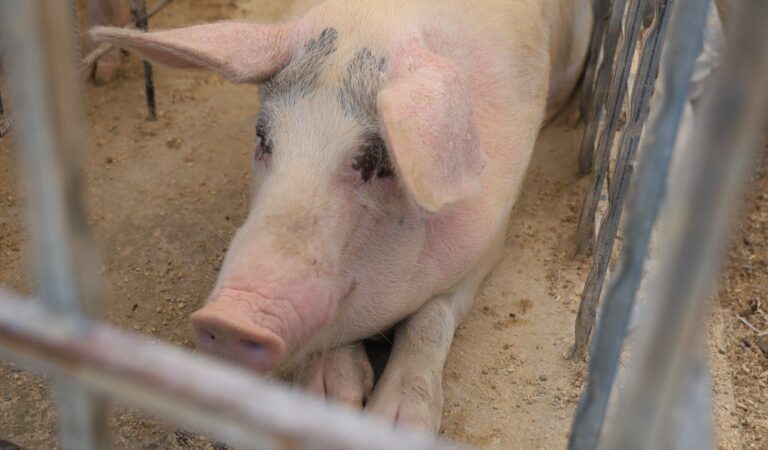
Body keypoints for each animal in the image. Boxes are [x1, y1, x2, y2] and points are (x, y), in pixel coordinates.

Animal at [92, 0, 592, 430]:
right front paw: (330, 402)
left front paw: (396, 426)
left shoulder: (490, 236)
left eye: (377, 160)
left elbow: (431, 316)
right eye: (263, 137)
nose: (229, 318)